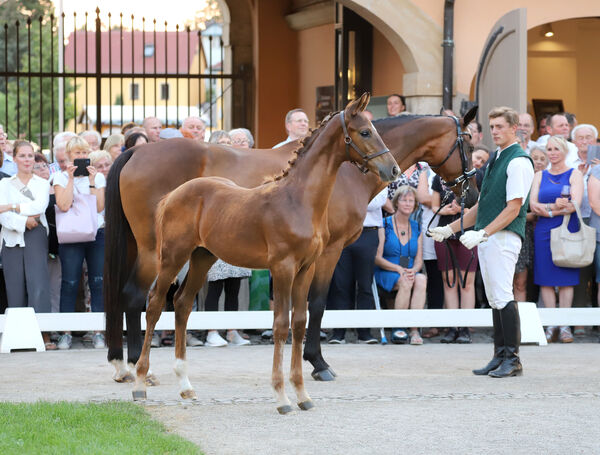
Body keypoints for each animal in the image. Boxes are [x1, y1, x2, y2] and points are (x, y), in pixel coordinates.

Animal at [103, 104, 478, 384]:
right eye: (470, 145)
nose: (473, 193)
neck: (339, 172)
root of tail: (134, 153)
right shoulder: (329, 252)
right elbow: (318, 303)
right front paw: (318, 363)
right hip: (157, 251)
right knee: (137, 296)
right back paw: (137, 365)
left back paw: (125, 363)